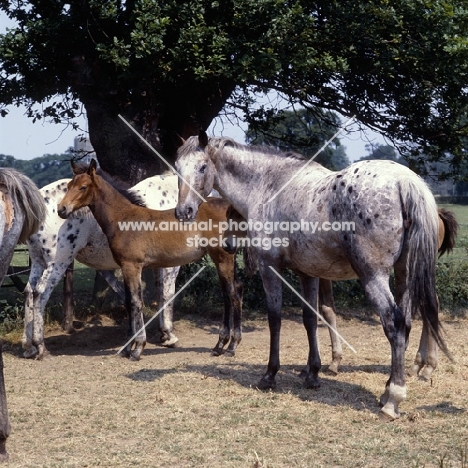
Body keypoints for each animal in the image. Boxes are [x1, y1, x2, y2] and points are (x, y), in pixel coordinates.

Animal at [55, 159, 241, 360]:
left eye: (83, 187)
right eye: (68, 186)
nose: (61, 209)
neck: (123, 218)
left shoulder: (132, 266)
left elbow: (136, 302)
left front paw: (137, 348)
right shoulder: (126, 267)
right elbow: (130, 302)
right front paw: (128, 348)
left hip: (222, 257)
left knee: (231, 295)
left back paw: (226, 346)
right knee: (235, 292)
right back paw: (227, 345)